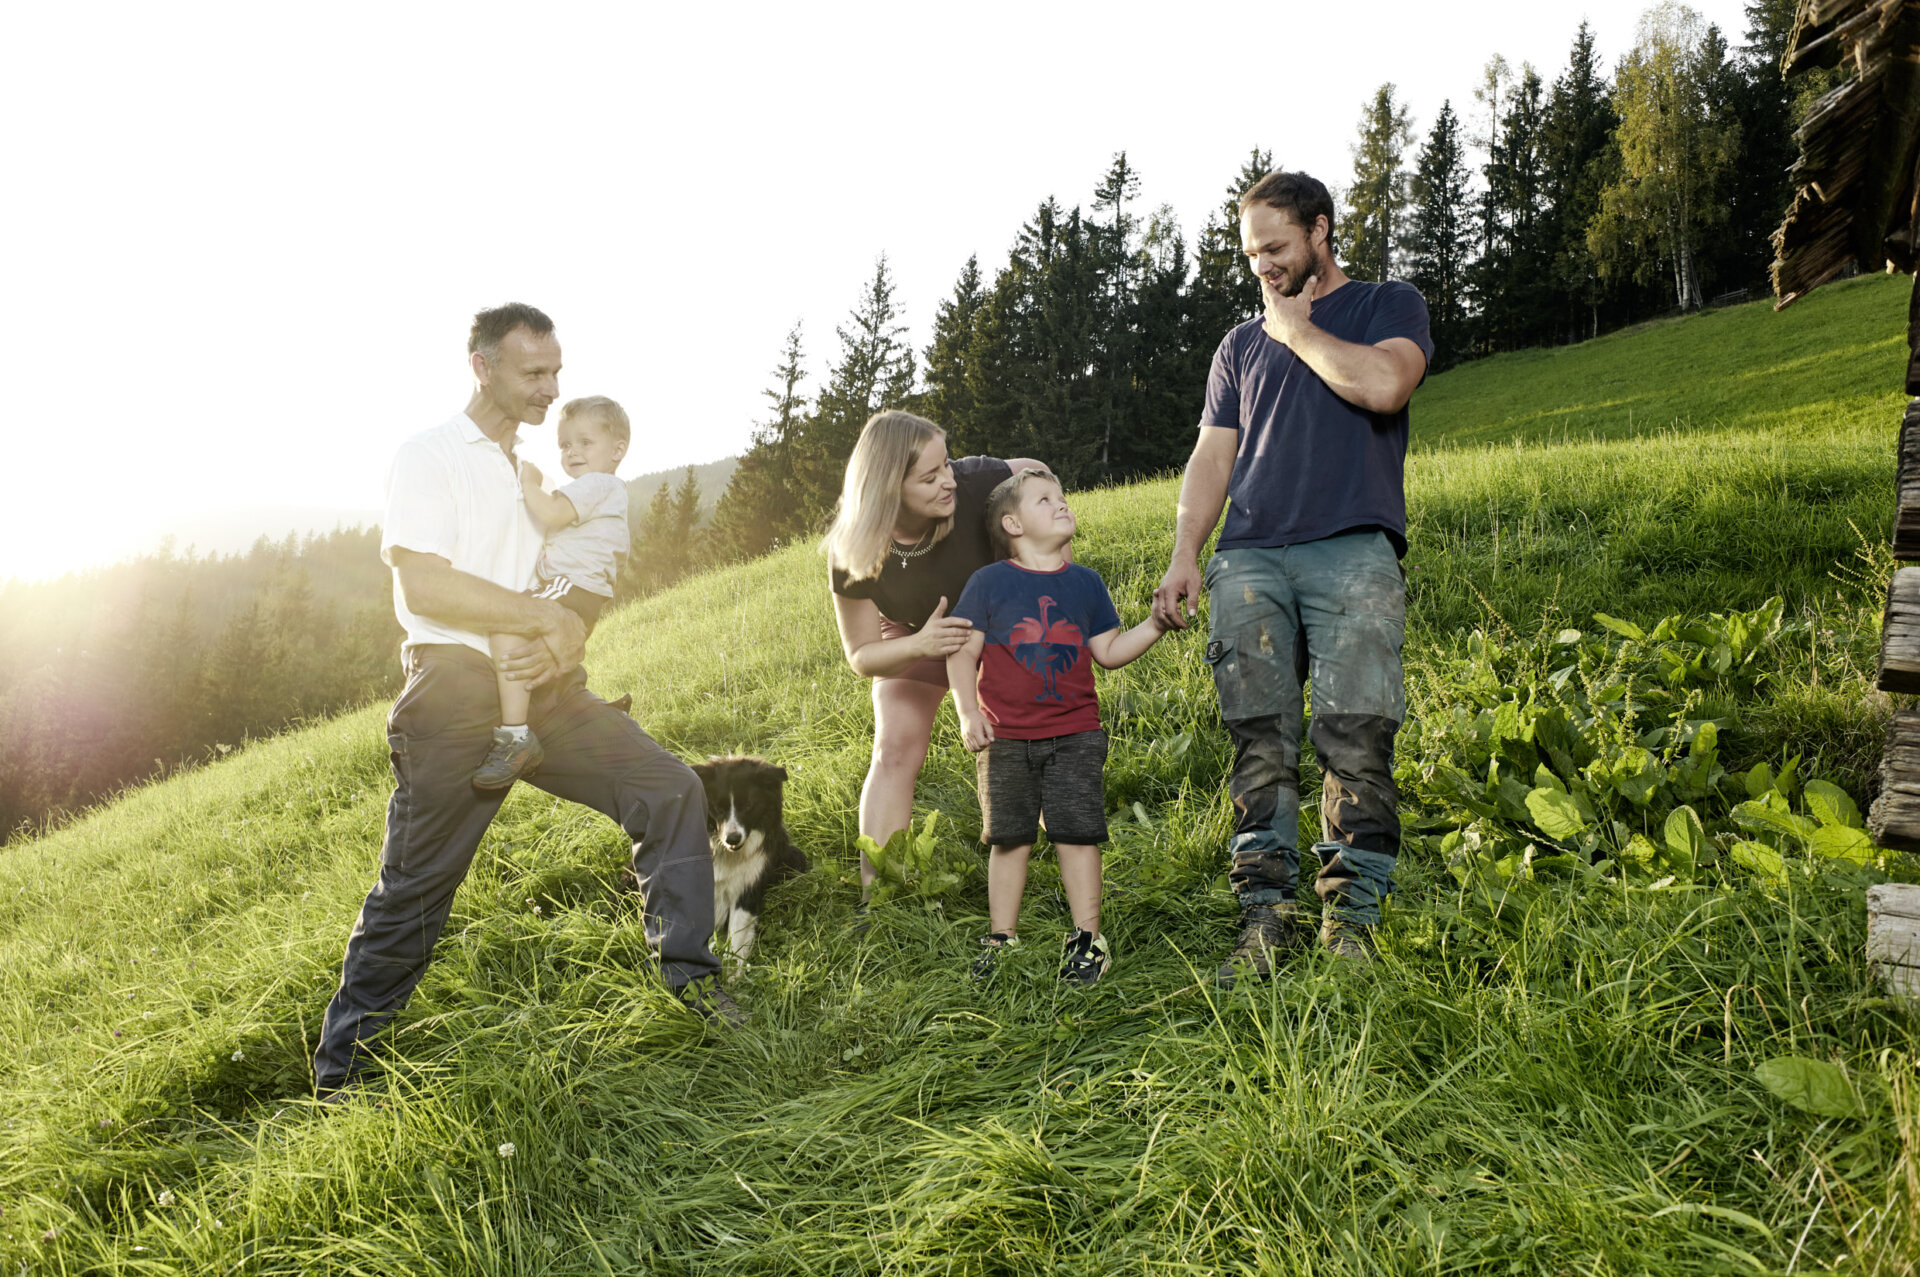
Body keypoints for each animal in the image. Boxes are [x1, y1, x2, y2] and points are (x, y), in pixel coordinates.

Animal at [691, 756, 810, 956]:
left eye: (748, 805)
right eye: (718, 807)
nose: (732, 839)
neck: (729, 854)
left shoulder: (746, 891)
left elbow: (735, 943)